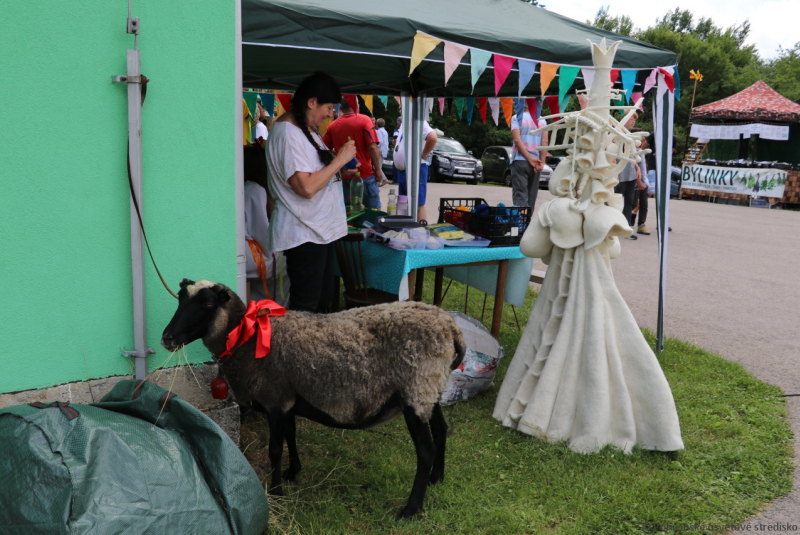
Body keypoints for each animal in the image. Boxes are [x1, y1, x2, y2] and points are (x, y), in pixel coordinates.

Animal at [159, 280, 466, 520]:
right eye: (180, 298)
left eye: (208, 304)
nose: (167, 338)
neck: (247, 337)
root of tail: (451, 327)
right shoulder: (287, 398)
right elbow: (291, 436)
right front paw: (293, 472)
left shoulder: (274, 399)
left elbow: (275, 449)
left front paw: (277, 491)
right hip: (429, 390)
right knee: (442, 430)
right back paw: (437, 479)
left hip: (417, 389)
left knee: (425, 450)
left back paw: (410, 509)